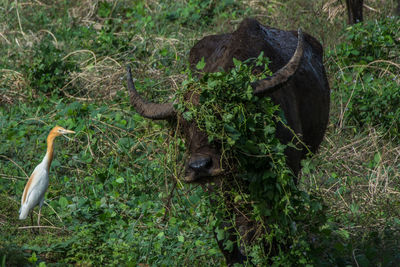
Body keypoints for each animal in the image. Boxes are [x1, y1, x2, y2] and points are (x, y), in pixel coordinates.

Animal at [126, 18, 330, 266]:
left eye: (225, 115)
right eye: (183, 125)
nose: (199, 167)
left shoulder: (285, 176)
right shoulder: (217, 191)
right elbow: (225, 234)